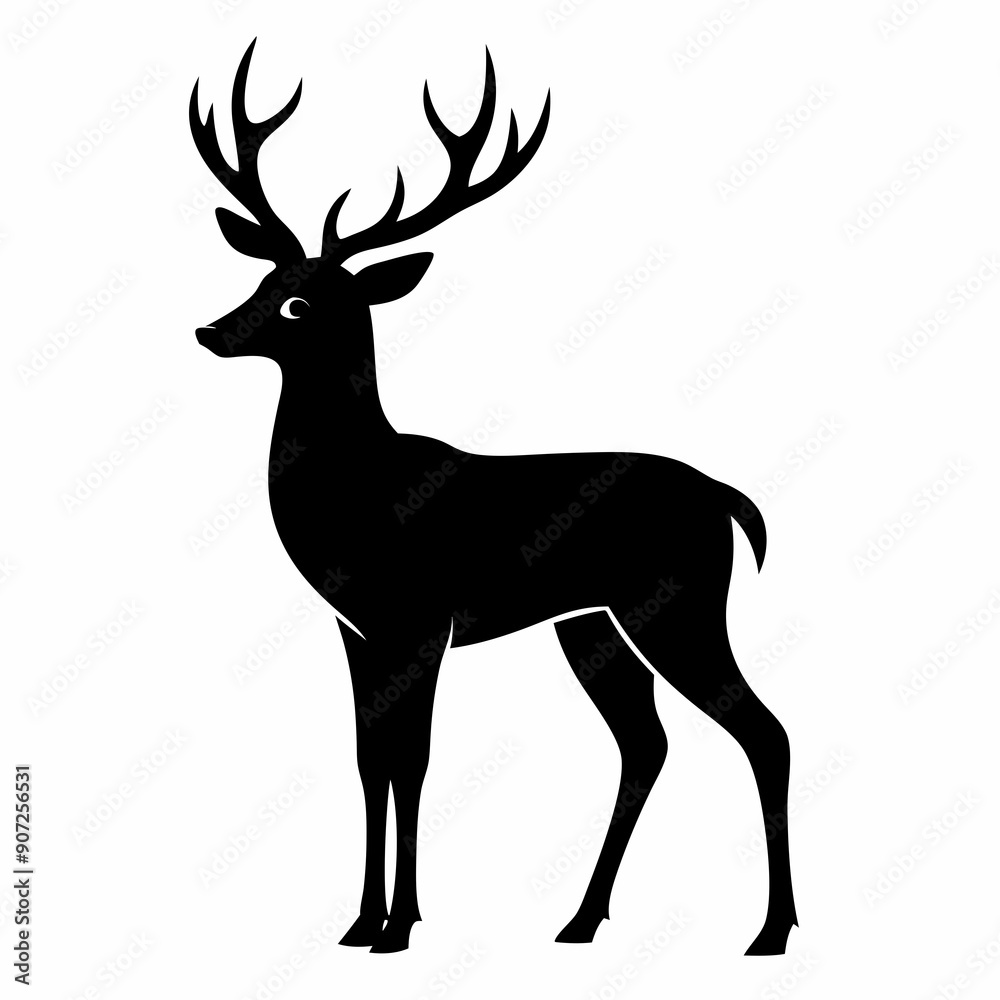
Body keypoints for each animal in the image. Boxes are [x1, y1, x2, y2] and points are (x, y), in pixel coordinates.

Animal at [190, 39, 797, 955]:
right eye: (264, 279)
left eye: (300, 302)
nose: (211, 330)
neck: (358, 491)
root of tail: (727, 498)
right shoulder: (356, 627)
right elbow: (369, 760)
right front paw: (358, 921)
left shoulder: (420, 617)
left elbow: (413, 760)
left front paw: (398, 926)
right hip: (591, 623)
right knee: (646, 742)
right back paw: (580, 920)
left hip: (678, 601)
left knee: (764, 731)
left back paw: (771, 931)